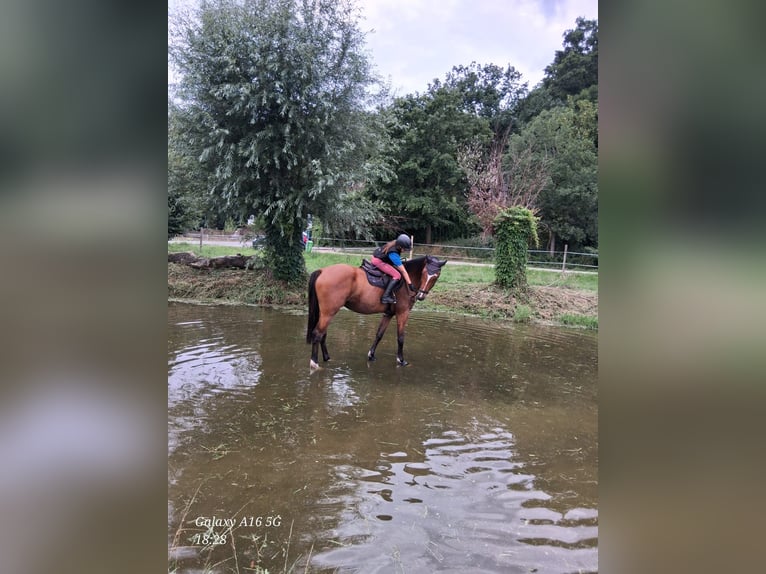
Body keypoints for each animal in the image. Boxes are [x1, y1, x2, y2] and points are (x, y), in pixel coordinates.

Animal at [306, 255, 447, 369]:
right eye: (424, 272)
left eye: (436, 276)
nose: (421, 296)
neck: (406, 281)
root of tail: (322, 271)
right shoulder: (403, 313)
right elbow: (401, 337)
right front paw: (401, 360)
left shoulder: (388, 314)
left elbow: (379, 334)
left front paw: (371, 355)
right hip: (329, 312)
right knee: (317, 334)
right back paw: (314, 363)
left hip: (325, 313)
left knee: (323, 334)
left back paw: (327, 358)